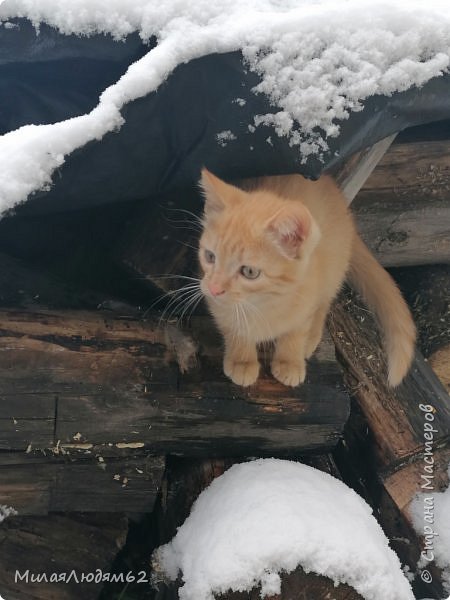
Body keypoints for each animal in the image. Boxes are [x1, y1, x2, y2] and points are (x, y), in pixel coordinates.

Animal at [199, 168, 416, 390]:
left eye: (249, 272)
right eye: (210, 256)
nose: (214, 288)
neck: (263, 303)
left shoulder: (306, 300)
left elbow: (296, 332)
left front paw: (289, 362)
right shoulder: (217, 305)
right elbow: (233, 328)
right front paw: (242, 360)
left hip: (333, 268)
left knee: (324, 303)